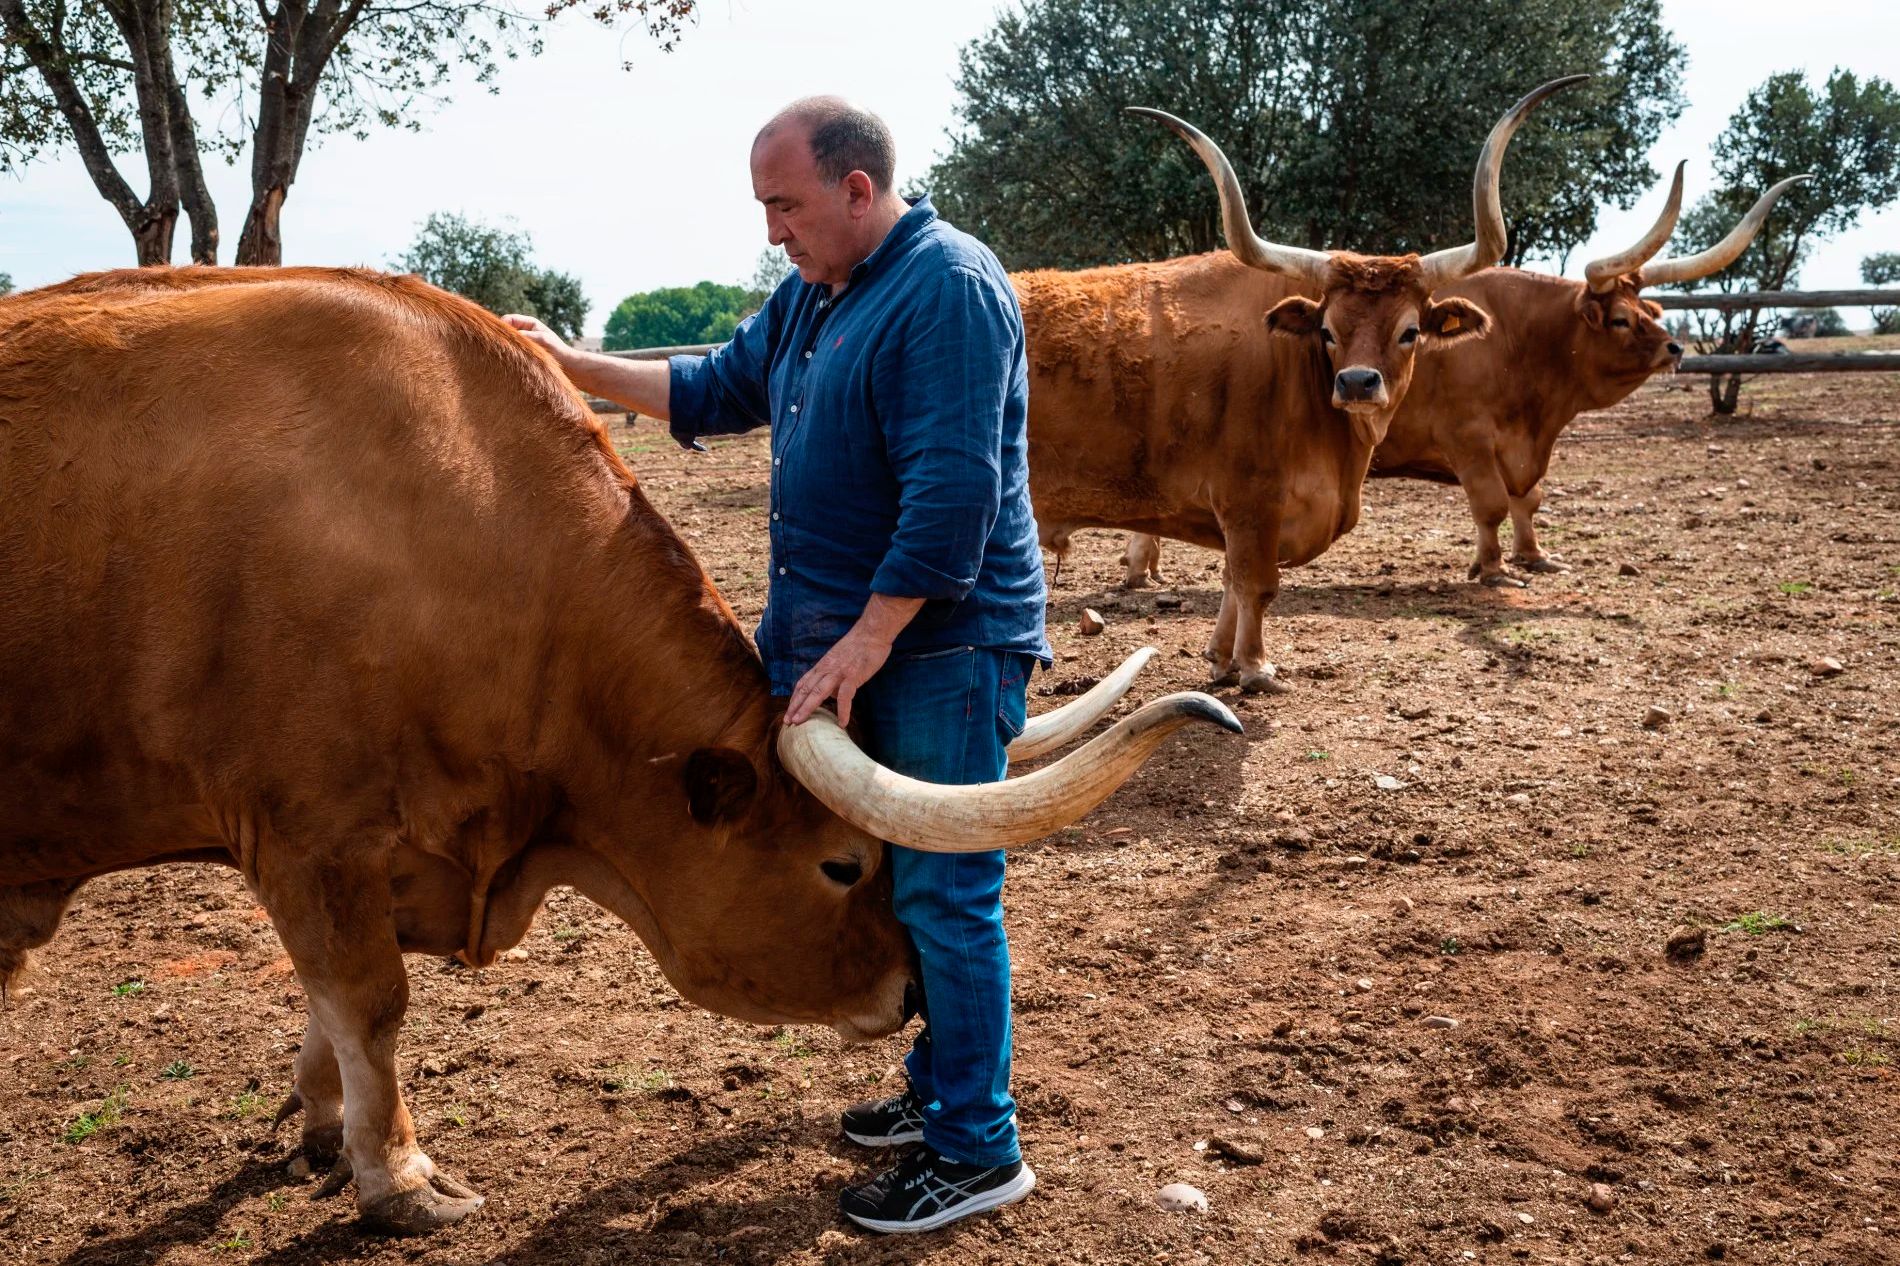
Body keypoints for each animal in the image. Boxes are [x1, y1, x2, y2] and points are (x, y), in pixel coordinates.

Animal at [0, 271, 1231, 1224]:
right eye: (843, 864)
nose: (915, 992)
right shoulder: (313, 835)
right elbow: (368, 1000)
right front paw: (400, 1177)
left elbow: (326, 1008)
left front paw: (325, 1128)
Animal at [1018, 78, 1580, 691]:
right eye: (1328, 330)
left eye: (1409, 331)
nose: (1357, 383)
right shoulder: (1250, 504)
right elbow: (1257, 585)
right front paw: (1256, 667)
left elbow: (1232, 584)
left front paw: (1223, 658)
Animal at [1124, 163, 1808, 593]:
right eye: (1618, 318)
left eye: (1652, 311)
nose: (1674, 347)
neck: (1522, 342)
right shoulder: (1470, 439)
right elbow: (1491, 503)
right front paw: (1494, 569)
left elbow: (1528, 499)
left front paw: (1535, 558)